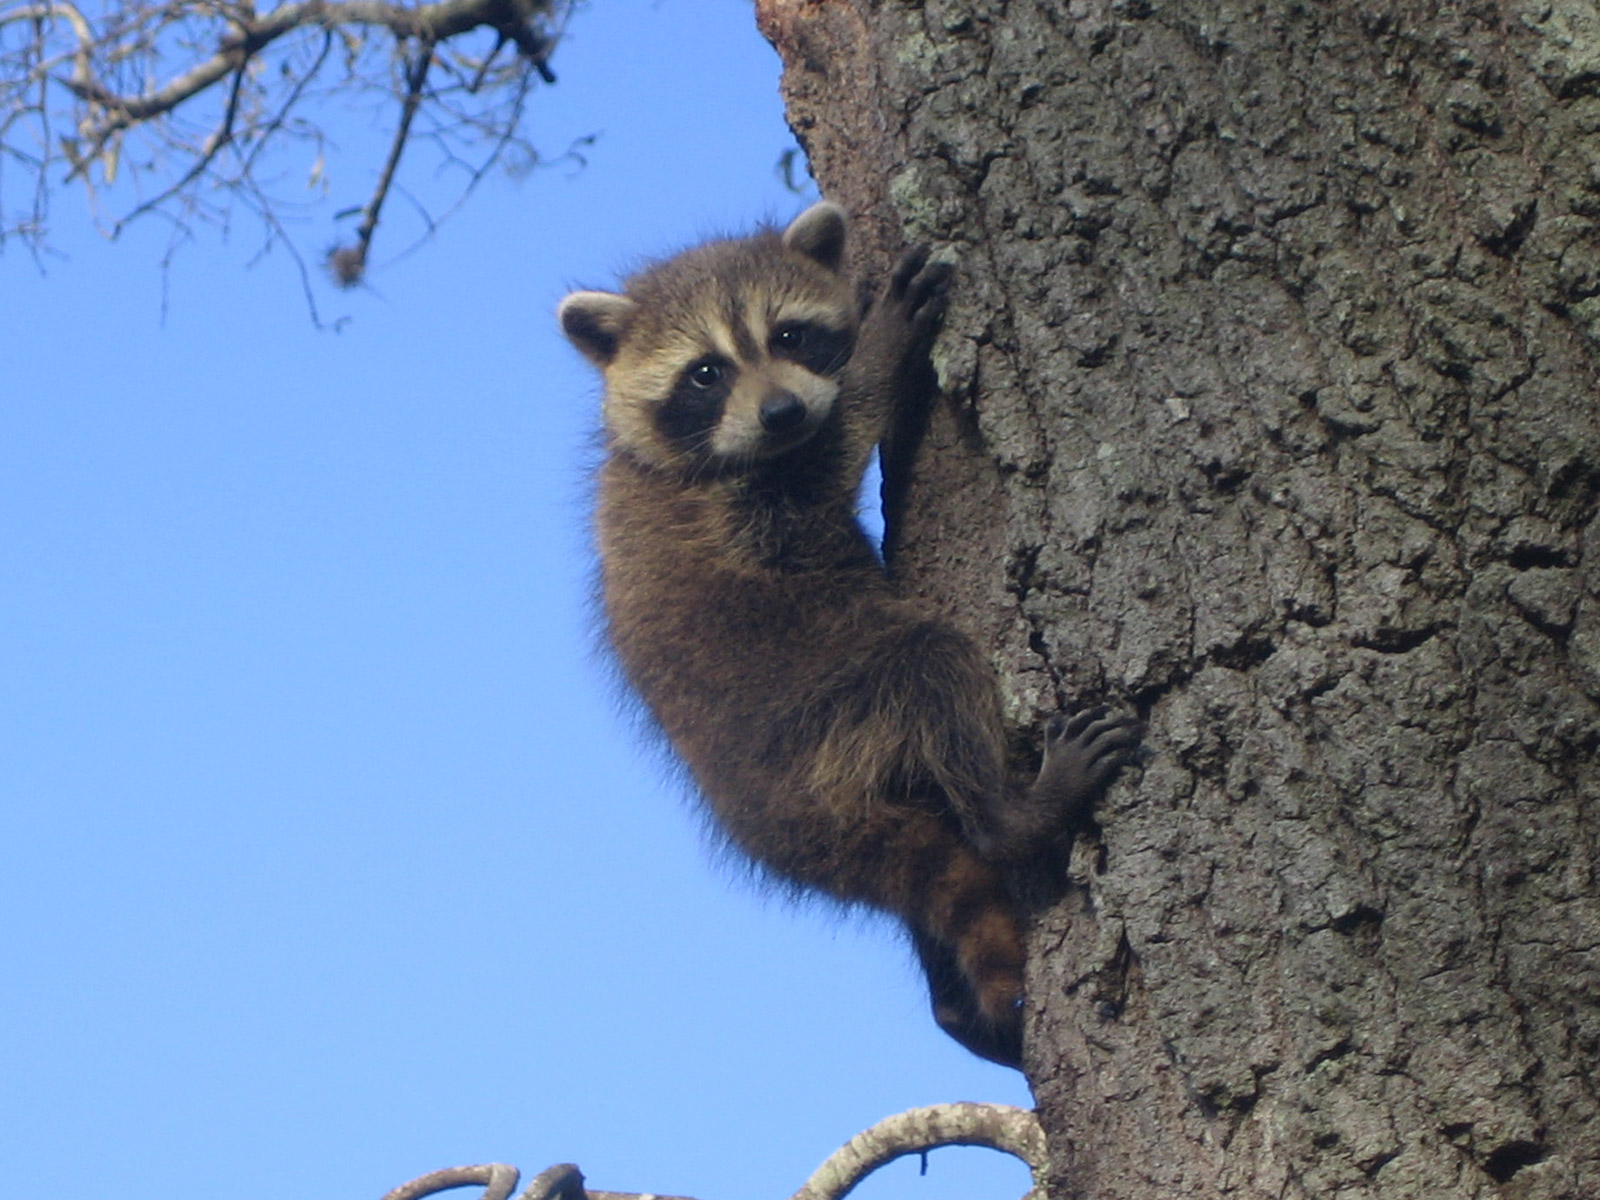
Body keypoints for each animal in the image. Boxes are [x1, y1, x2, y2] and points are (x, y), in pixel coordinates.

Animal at [559, 202, 1140, 1067]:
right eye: (706, 372)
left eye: (789, 336)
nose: (782, 413)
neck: (661, 456)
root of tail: (781, 824)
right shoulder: (740, 508)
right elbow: (834, 449)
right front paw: (881, 354)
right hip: (837, 706)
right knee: (933, 666)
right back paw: (1015, 813)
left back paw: (957, 1004)